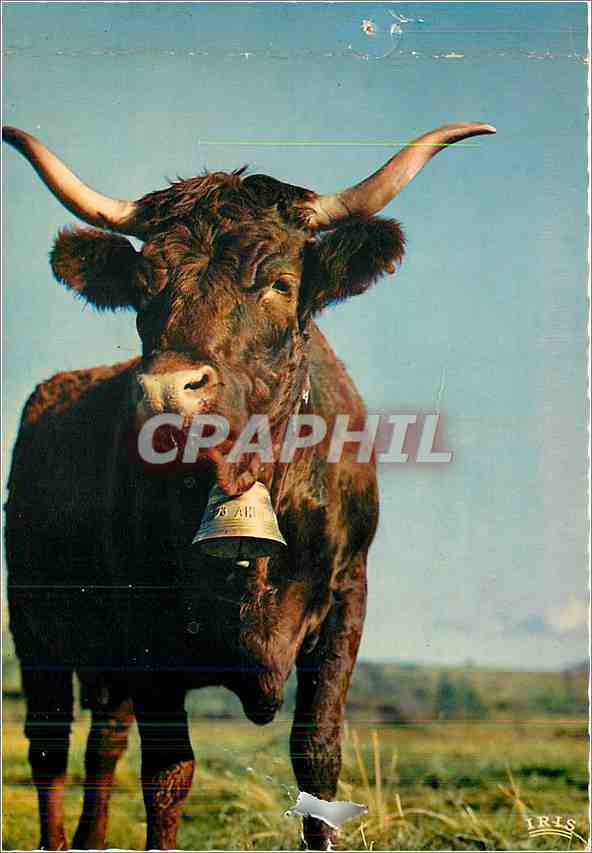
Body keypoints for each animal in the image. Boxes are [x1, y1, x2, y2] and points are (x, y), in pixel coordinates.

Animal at [3, 120, 495, 851]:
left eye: (281, 283)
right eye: (143, 287)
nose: (164, 390)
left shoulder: (347, 600)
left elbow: (317, 760)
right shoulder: (147, 630)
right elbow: (168, 774)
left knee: (102, 741)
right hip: (35, 627)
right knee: (49, 743)